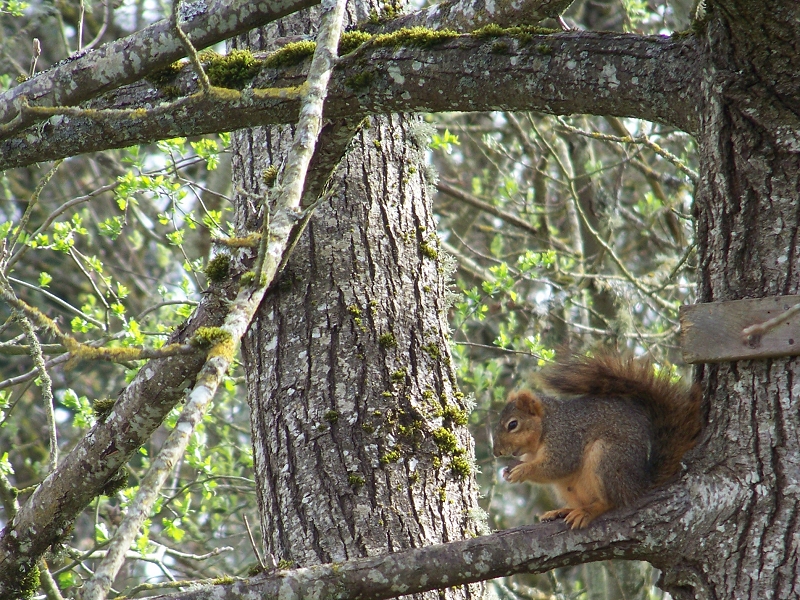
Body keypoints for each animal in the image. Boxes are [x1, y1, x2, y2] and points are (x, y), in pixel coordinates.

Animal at [494, 352, 700, 528]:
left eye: (513, 424)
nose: (497, 452)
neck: (546, 427)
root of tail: (639, 485)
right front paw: (507, 470)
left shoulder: (565, 439)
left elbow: (558, 466)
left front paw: (522, 471)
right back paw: (563, 510)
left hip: (607, 458)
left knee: (612, 501)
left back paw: (588, 511)